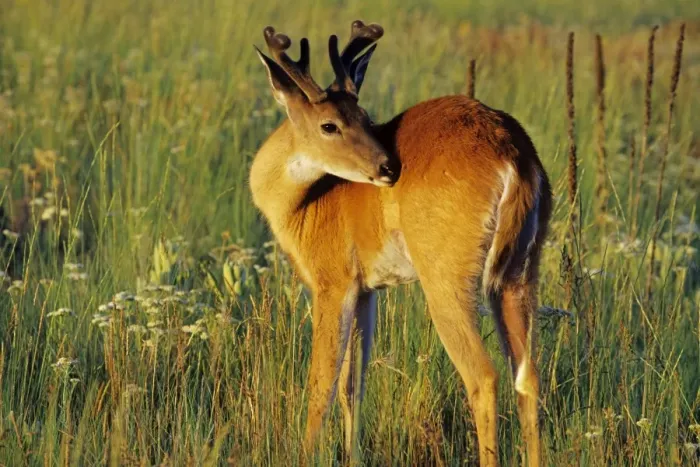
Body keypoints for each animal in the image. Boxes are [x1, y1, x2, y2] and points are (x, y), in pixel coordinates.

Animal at [249, 20, 552, 466]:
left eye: (362, 116)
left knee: (483, 375)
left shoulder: (332, 283)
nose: (387, 166)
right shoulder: (366, 290)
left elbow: (321, 386)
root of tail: (513, 153)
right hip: (518, 274)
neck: (309, 202)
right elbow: (353, 386)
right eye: (331, 123)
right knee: (527, 377)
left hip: (447, 277)